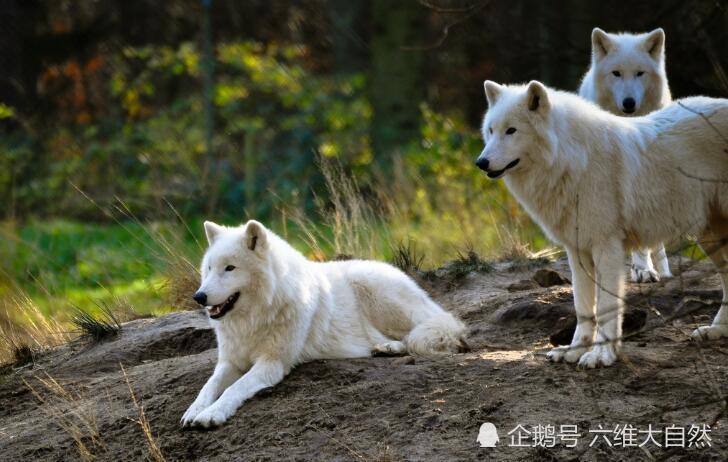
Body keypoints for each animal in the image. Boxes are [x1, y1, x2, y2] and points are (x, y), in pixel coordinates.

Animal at [182, 218, 466, 428]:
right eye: (209, 268)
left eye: (230, 268)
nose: (199, 297)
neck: (255, 317)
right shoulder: (229, 361)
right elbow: (209, 386)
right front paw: (194, 410)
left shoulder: (272, 363)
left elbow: (234, 388)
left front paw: (211, 414)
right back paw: (384, 349)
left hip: (378, 294)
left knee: (426, 332)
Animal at [474, 79, 728, 368]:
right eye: (491, 130)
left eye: (511, 131)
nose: (480, 162)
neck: (573, 160)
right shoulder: (577, 251)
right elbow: (583, 308)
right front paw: (573, 350)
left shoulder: (607, 248)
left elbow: (606, 308)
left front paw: (602, 355)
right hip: (709, 237)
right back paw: (716, 330)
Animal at [576, 27, 672, 284]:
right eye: (616, 73)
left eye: (639, 73)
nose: (629, 103)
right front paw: (640, 268)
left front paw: (645, 269)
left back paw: (663, 270)